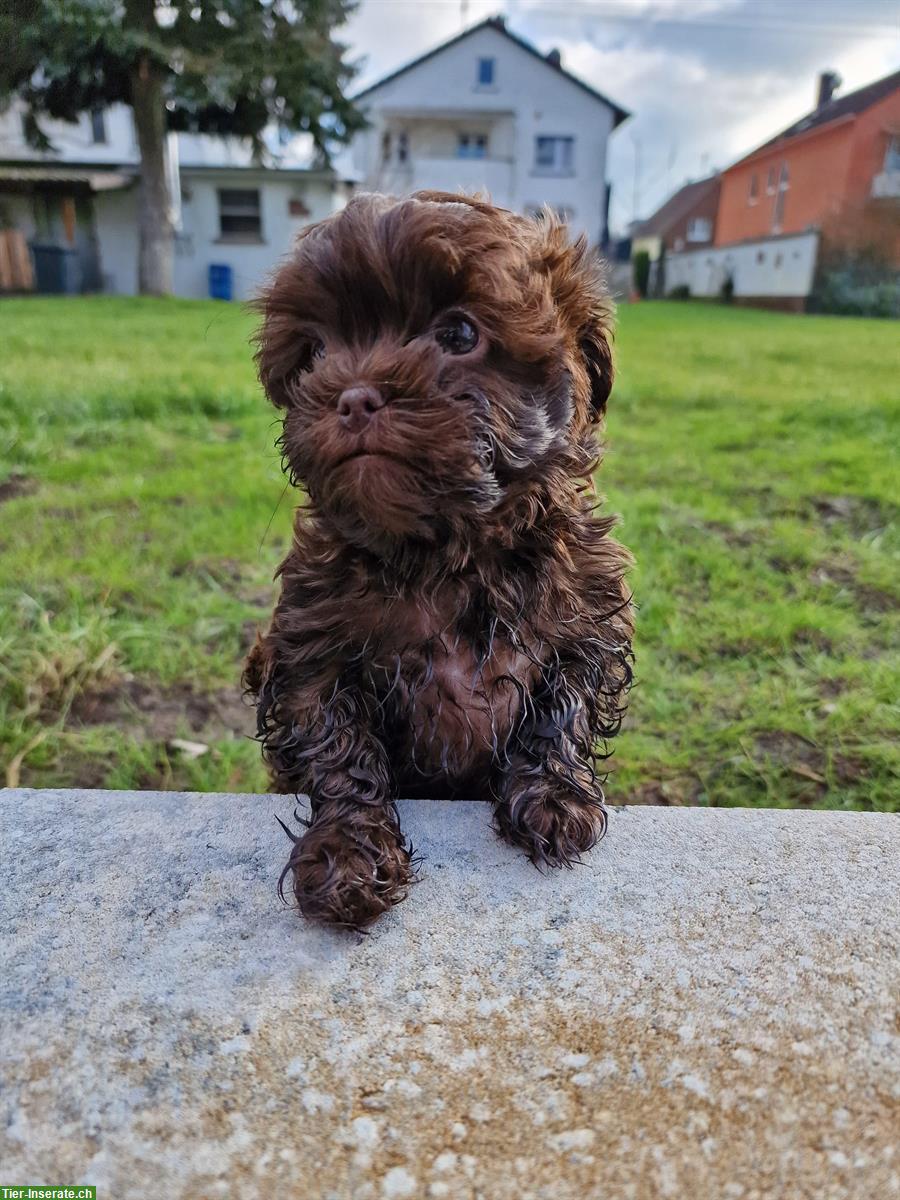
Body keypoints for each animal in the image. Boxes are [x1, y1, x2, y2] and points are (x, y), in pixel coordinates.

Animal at [248, 192, 633, 931]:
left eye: (459, 335)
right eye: (315, 354)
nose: (353, 395)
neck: (449, 555)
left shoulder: (586, 617)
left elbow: (562, 702)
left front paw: (554, 796)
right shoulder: (309, 649)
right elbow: (338, 744)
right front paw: (348, 856)